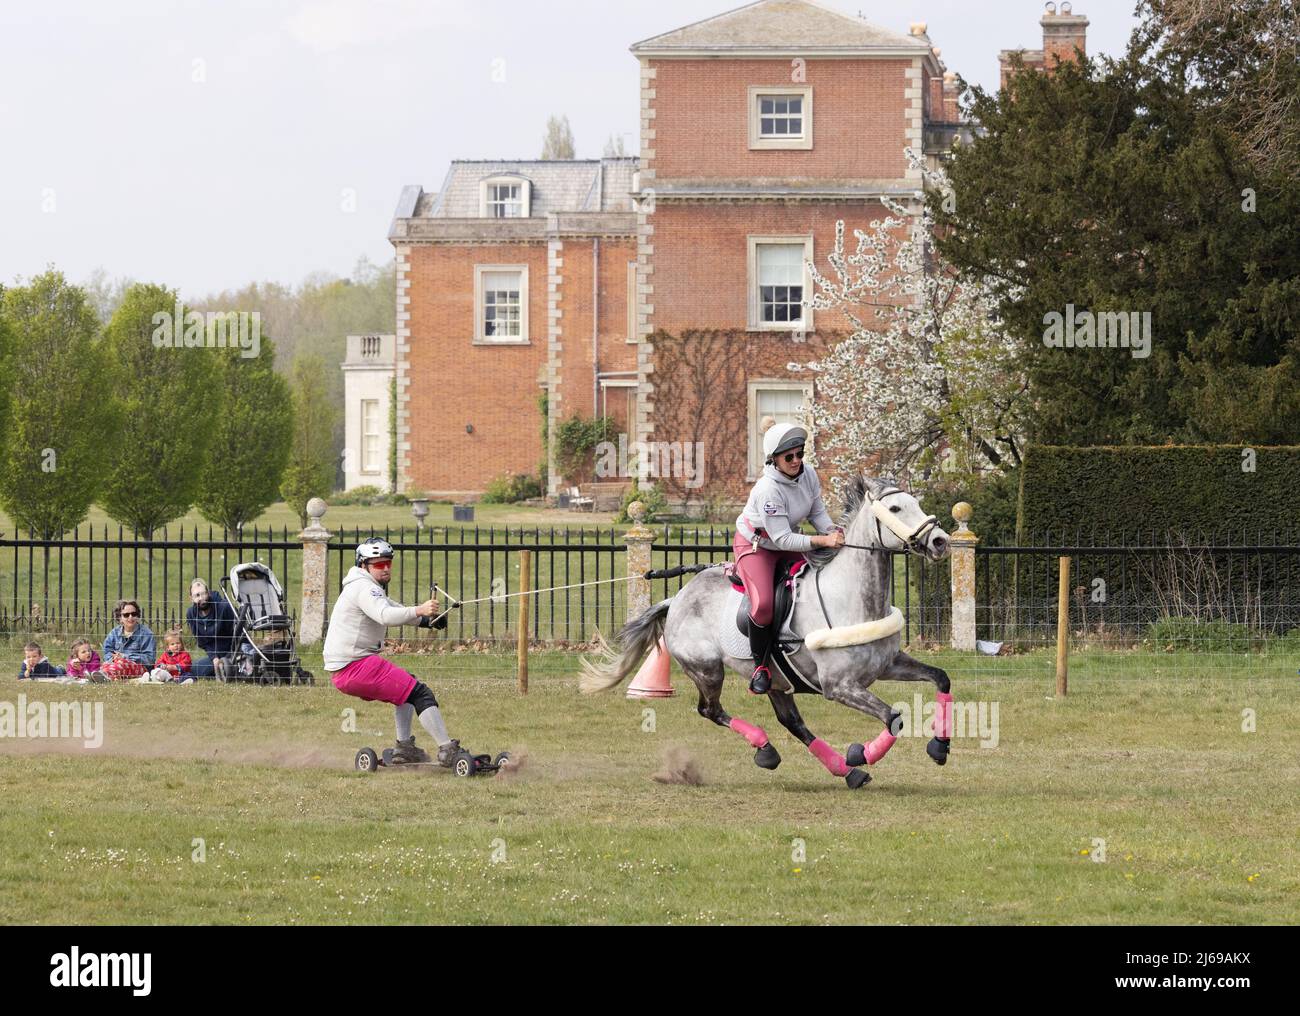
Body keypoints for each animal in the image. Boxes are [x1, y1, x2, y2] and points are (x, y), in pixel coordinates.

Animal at [579, 475, 956, 789]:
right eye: (895, 509)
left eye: (916, 502)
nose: (940, 541)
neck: (852, 598)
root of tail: (676, 599)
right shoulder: (839, 686)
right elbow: (893, 718)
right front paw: (859, 753)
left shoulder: (888, 664)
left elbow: (941, 678)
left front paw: (939, 747)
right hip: (707, 669)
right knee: (711, 711)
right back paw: (770, 751)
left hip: (778, 680)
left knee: (793, 723)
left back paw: (845, 772)